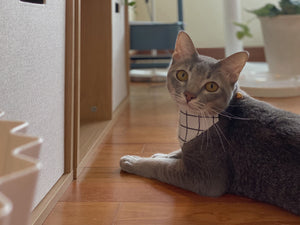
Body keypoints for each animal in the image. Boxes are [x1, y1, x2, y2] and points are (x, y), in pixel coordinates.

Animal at [120, 30, 300, 215]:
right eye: (182, 75)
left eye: (211, 86)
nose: (189, 95)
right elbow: (178, 152)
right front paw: (163, 154)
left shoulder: (205, 179)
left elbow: (161, 167)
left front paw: (134, 161)